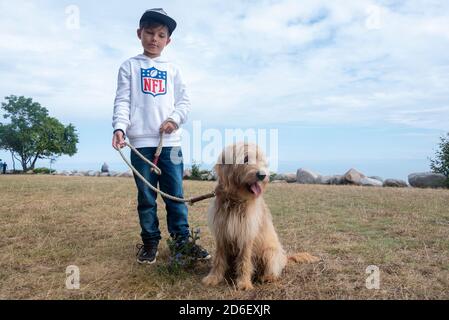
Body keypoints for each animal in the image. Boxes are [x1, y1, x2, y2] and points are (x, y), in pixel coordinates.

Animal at [201, 142, 316, 290]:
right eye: (245, 159)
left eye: (260, 159)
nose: (263, 175)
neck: (235, 200)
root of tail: (284, 258)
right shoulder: (221, 233)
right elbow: (219, 258)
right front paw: (213, 278)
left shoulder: (247, 234)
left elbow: (244, 259)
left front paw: (244, 283)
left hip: (270, 252)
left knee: (273, 270)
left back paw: (267, 277)